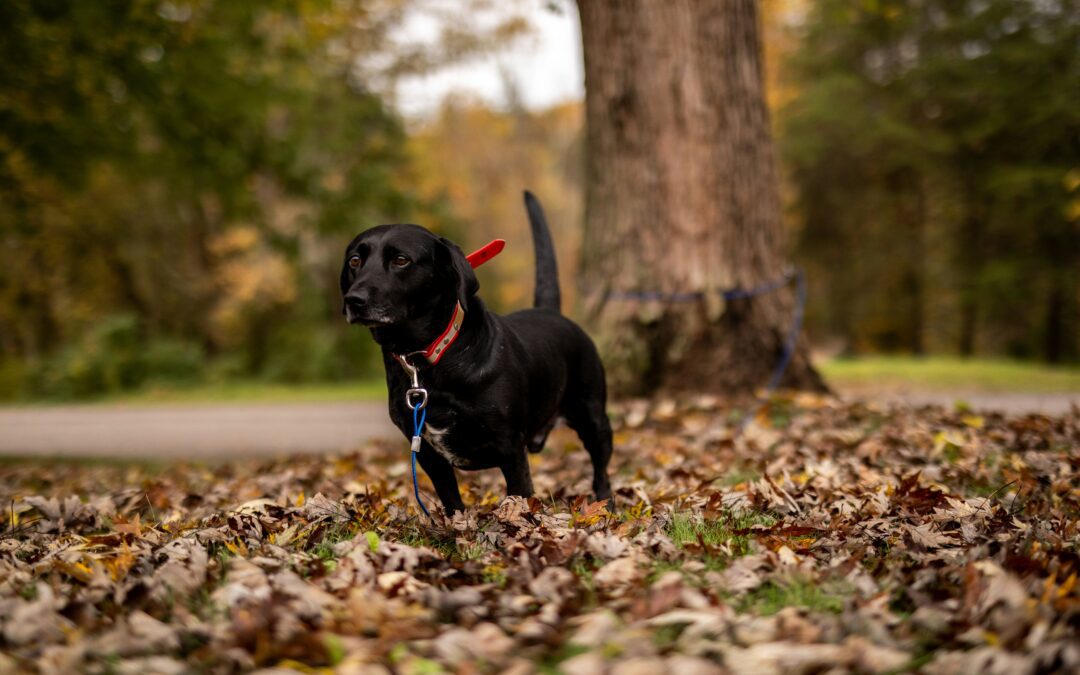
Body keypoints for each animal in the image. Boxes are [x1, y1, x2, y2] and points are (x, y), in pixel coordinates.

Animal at [343, 192, 617, 514]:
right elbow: (451, 500)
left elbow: (519, 497)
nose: (354, 300)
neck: (428, 357)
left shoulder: (510, 447)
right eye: (355, 260)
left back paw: (606, 505)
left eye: (401, 260)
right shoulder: (427, 453)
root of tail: (550, 312)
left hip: (594, 417)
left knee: (601, 471)